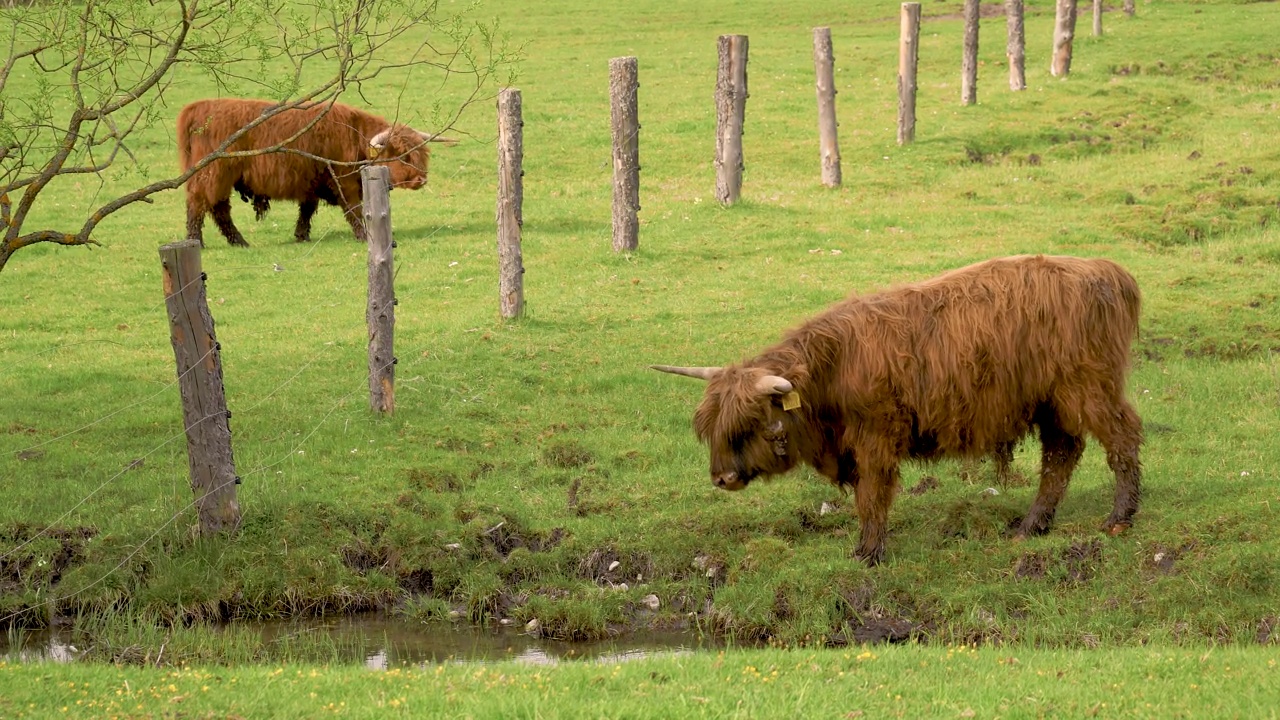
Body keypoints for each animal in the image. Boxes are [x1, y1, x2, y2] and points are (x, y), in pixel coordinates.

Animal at [175, 97, 445, 245]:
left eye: (421, 154)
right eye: (402, 155)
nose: (421, 179)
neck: (355, 135)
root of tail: (199, 107)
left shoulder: (311, 183)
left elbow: (306, 210)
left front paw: (301, 235)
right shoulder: (344, 182)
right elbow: (354, 209)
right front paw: (363, 235)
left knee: (217, 208)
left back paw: (238, 243)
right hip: (214, 175)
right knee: (200, 206)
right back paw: (200, 241)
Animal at [655, 254, 1146, 563]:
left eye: (750, 423)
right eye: (712, 427)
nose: (722, 477)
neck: (832, 369)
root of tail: (1107, 271)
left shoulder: (876, 436)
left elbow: (872, 496)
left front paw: (868, 553)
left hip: (1089, 389)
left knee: (1121, 439)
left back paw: (1119, 519)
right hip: (1053, 403)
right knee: (1060, 456)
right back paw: (1031, 526)